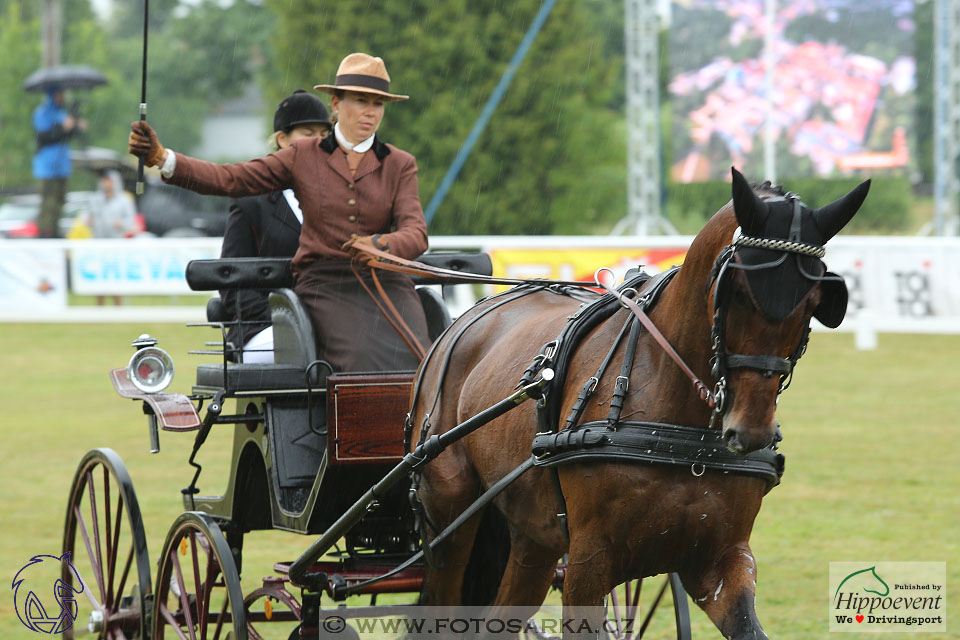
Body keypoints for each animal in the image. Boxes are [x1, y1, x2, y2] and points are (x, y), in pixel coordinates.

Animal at [404, 168, 872, 636]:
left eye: (814, 302)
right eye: (737, 291)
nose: (750, 429)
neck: (684, 433)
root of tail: (460, 325)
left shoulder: (721, 560)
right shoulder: (589, 562)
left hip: (531, 536)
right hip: (449, 518)